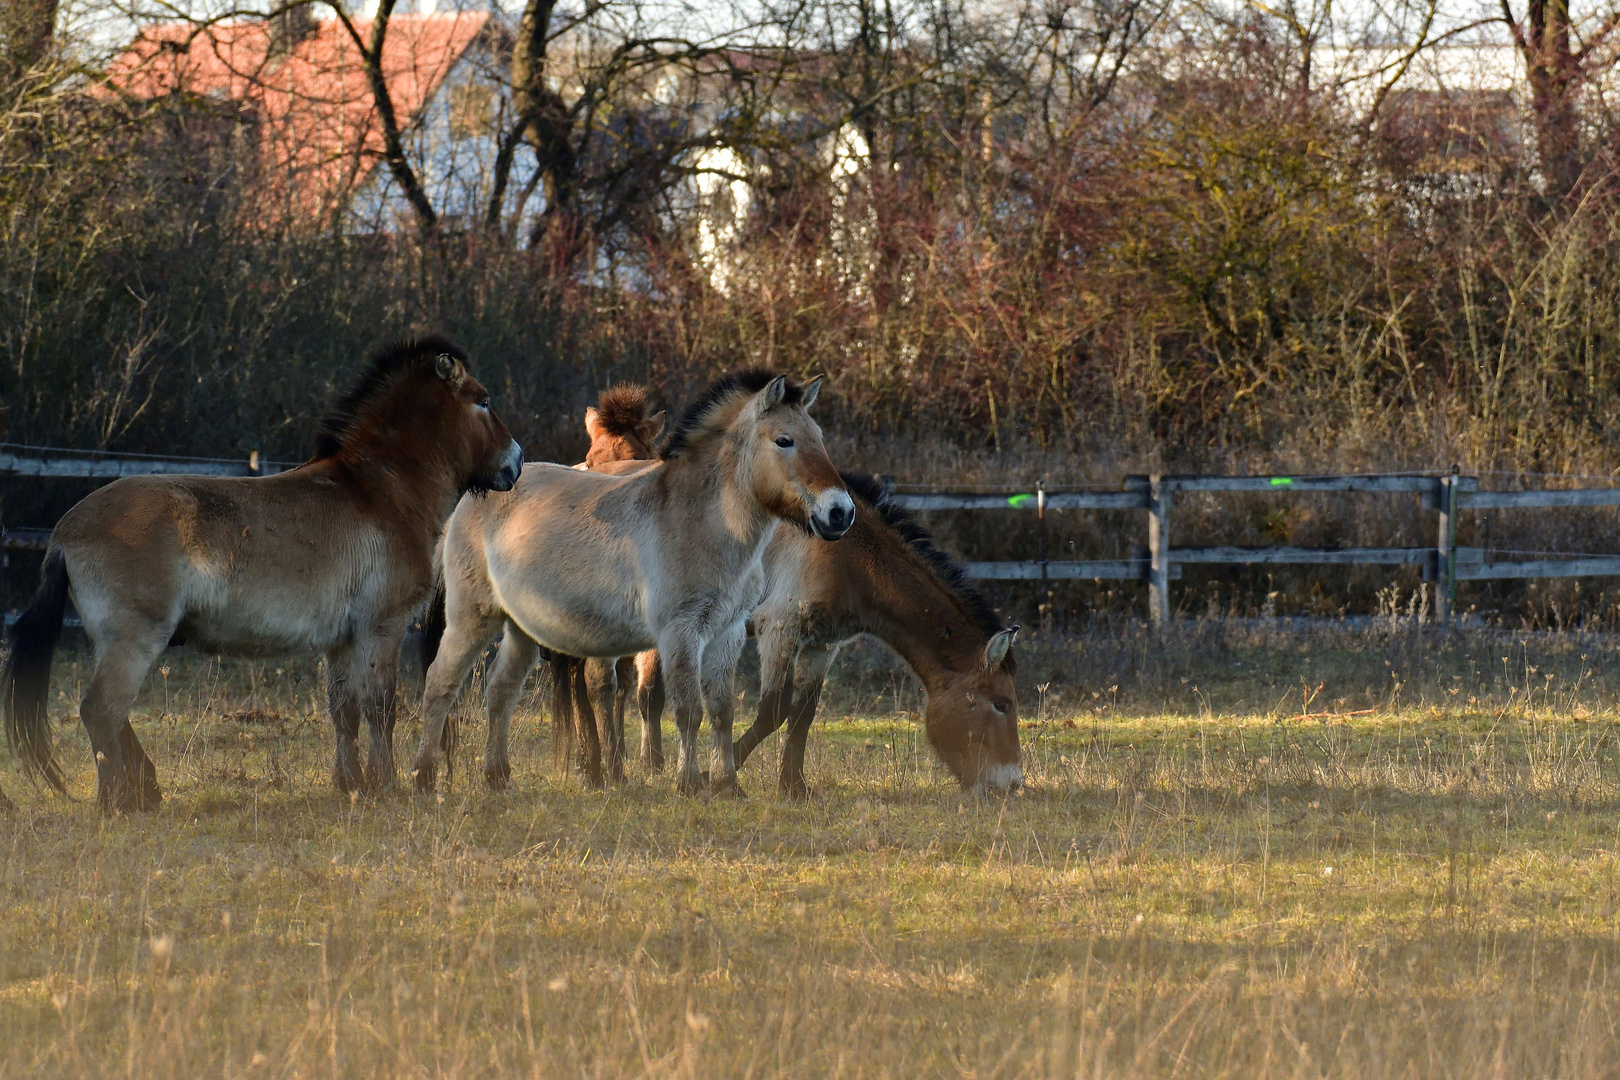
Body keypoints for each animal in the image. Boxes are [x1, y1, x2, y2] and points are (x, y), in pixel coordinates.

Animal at [3, 338, 521, 809]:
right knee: (102, 711)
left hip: (117, 641)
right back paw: (117, 803)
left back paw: (143, 792)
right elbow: (380, 709)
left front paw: (352, 785)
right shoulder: (381, 629)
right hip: (134, 639)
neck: (379, 491)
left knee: (115, 716)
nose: (515, 461)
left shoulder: (342, 640)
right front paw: (388, 787)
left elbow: (344, 711)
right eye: (484, 400)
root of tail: (65, 531)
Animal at [411, 369, 855, 793]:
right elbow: (688, 710)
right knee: (440, 684)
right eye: (784, 441)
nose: (841, 512)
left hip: (522, 628)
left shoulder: (725, 632)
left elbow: (721, 711)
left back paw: (497, 777)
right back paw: (423, 776)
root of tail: (467, 503)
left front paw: (728, 785)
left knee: (501, 690)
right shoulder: (681, 632)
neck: (701, 523)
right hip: (473, 617)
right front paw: (690, 784)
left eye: (818, 439)